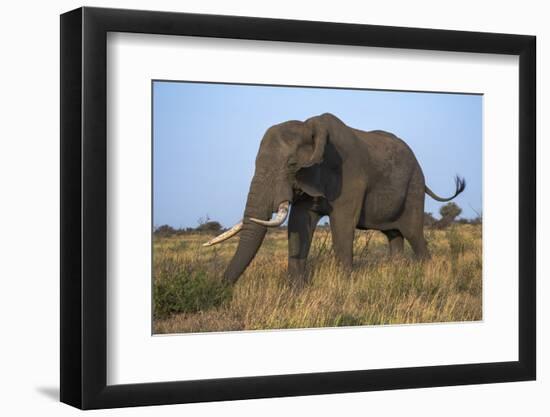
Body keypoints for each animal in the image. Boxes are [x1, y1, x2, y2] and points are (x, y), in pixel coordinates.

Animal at [205, 112, 468, 284]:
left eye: (291, 164)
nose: (221, 288)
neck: (311, 127)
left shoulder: (349, 175)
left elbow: (341, 225)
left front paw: (344, 288)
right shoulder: (310, 180)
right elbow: (299, 224)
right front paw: (295, 290)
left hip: (413, 187)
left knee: (414, 234)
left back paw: (427, 274)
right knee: (394, 235)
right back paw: (398, 274)